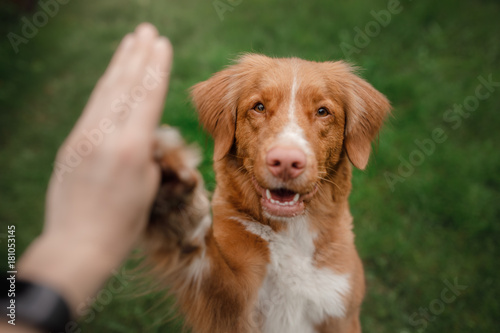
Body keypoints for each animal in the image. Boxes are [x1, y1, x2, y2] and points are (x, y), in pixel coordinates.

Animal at [145, 54, 390, 332]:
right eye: (259, 107)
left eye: (322, 111)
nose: (286, 161)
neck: (291, 232)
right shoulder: (234, 307)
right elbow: (207, 265)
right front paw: (177, 203)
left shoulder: (342, 311)